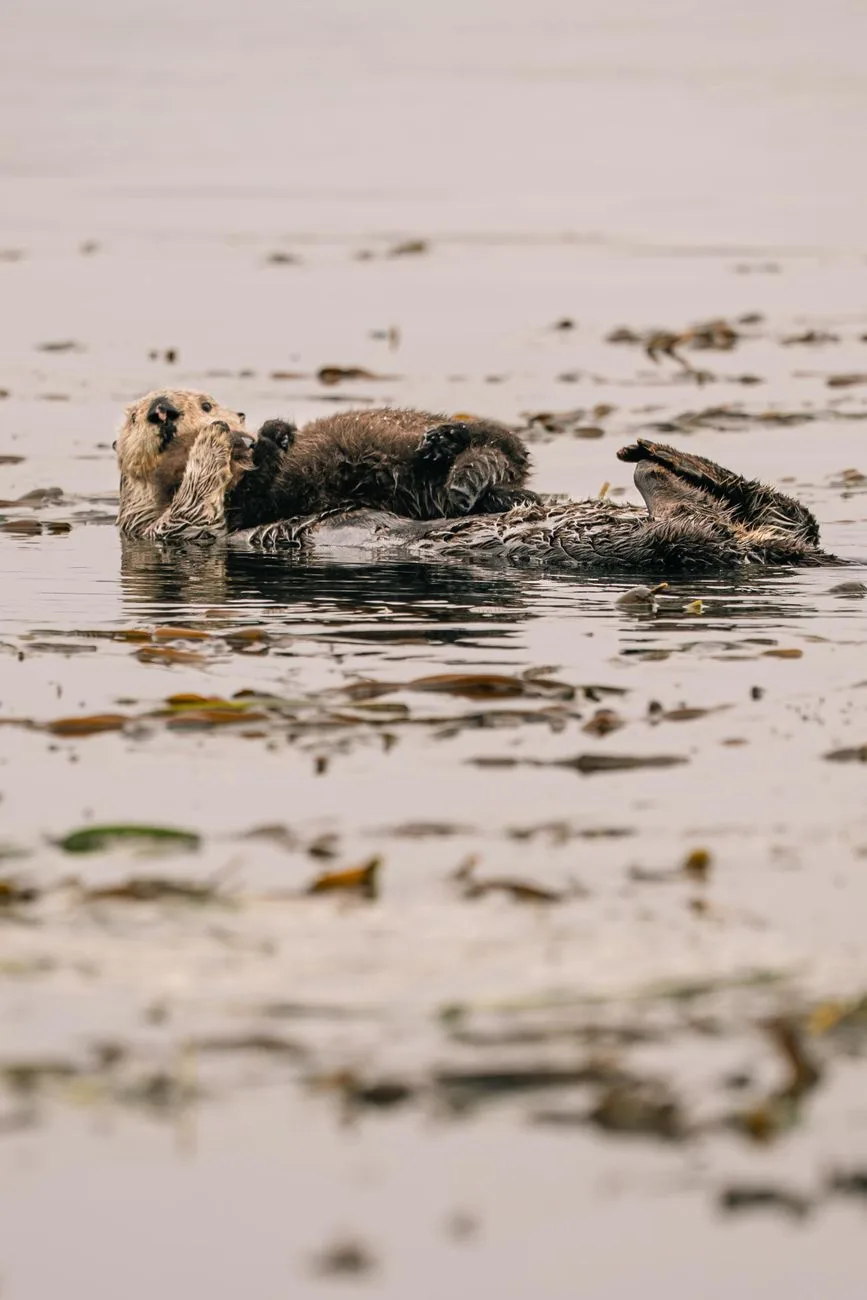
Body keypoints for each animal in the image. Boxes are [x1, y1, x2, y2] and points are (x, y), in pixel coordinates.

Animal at [116, 390, 534, 540]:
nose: (163, 409)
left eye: (205, 404)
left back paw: (445, 442)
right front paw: (219, 440)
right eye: (134, 417)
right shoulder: (158, 528)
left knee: (499, 439)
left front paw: (272, 434)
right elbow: (195, 513)